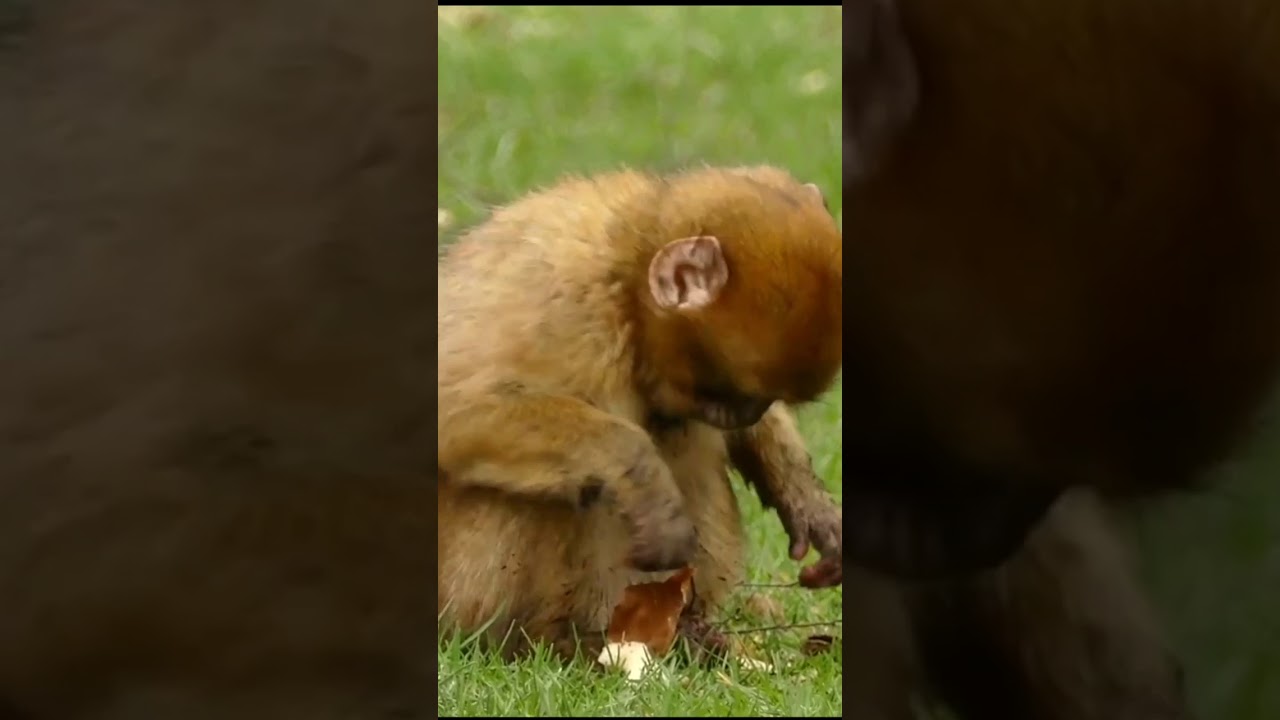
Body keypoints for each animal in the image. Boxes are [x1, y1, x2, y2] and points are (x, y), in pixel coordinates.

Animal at [436, 165, 845, 660]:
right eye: (731, 395)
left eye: (760, 401)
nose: (743, 417)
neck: (626, 277)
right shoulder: (561, 303)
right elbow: (458, 410)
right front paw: (642, 474)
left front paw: (806, 499)